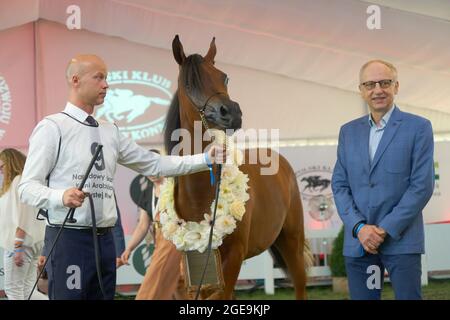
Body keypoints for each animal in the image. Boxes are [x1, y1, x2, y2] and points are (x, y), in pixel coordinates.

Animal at [165, 35, 310, 300]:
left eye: (224, 77)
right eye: (189, 83)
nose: (231, 112)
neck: (199, 196)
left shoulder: (233, 259)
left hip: (291, 240)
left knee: (300, 282)